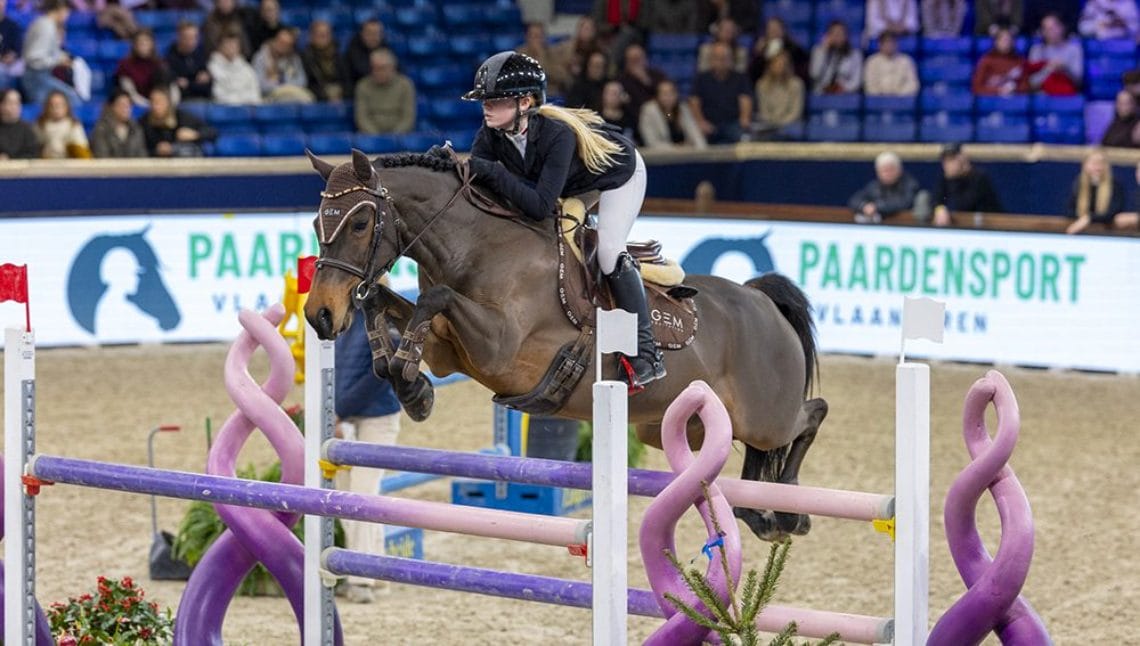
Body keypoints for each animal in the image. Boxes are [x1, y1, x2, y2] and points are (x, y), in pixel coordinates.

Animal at [302, 149, 829, 541]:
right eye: (316, 224)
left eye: (360, 224)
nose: (319, 314)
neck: (479, 247)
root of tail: (760, 300)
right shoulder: (449, 351)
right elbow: (388, 306)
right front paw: (410, 386)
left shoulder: (499, 348)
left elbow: (434, 297)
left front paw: (412, 387)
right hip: (673, 427)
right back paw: (760, 512)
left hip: (766, 416)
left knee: (809, 415)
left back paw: (790, 512)